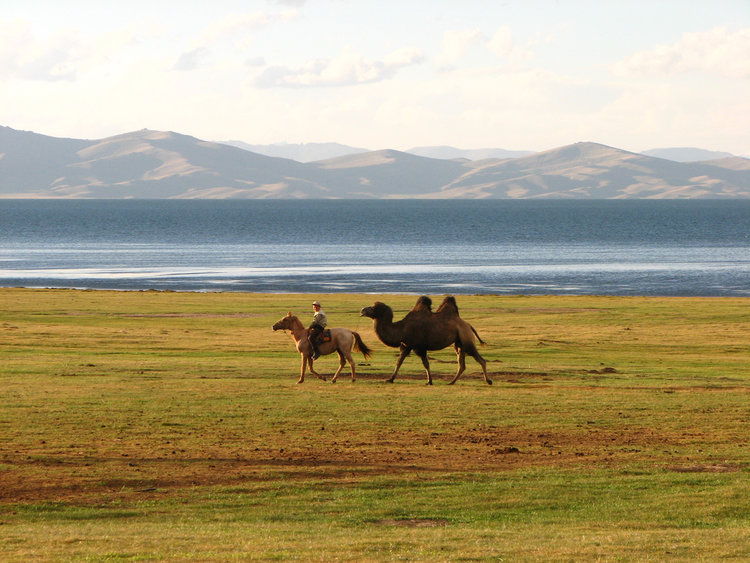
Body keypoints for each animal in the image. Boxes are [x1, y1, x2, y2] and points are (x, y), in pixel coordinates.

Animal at [360, 295, 491, 385]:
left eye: (373, 307)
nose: (362, 310)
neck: (401, 329)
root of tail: (468, 325)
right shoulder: (407, 345)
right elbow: (399, 361)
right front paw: (390, 379)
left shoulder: (419, 346)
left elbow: (425, 364)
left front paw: (430, 381)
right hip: (458, 343)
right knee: (462, 364)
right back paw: (451, 382)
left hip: (466, 339)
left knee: (480, 359)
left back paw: (488, 380)